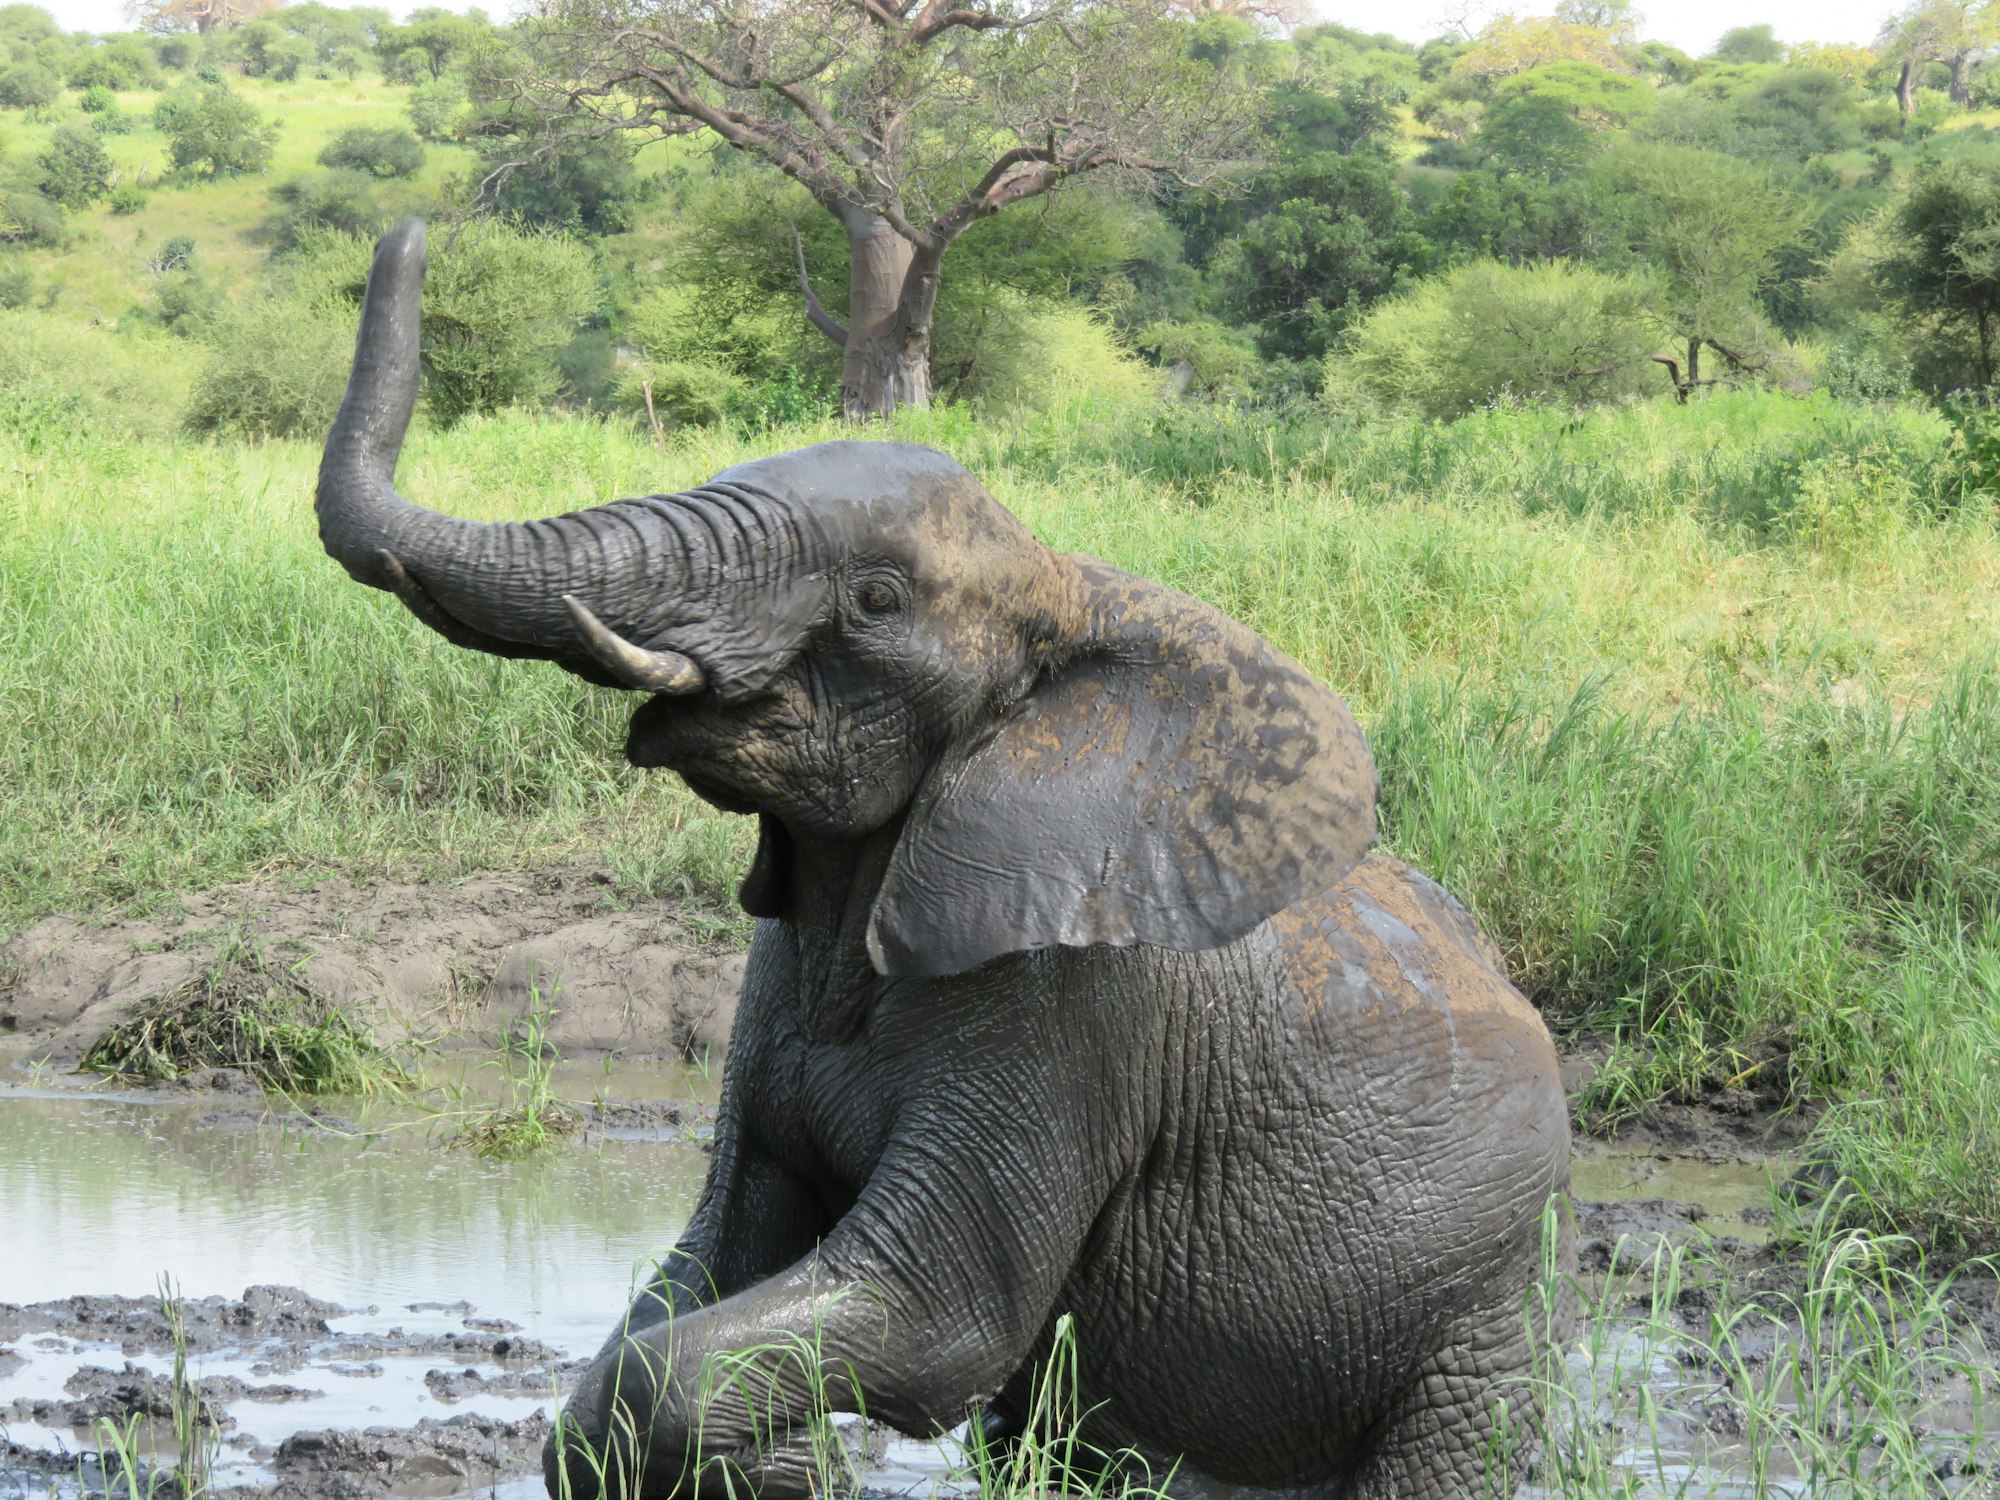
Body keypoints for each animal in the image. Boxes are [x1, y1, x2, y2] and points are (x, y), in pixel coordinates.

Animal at [312, 223, 1568, 1500]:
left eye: (875, 598)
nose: (410, 234)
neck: (1059, 587)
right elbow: (710, 1264)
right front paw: (781, 1463)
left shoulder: (1076, 1009)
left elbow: (932, 1314)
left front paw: (796, 1461)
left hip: (1483, 1297)